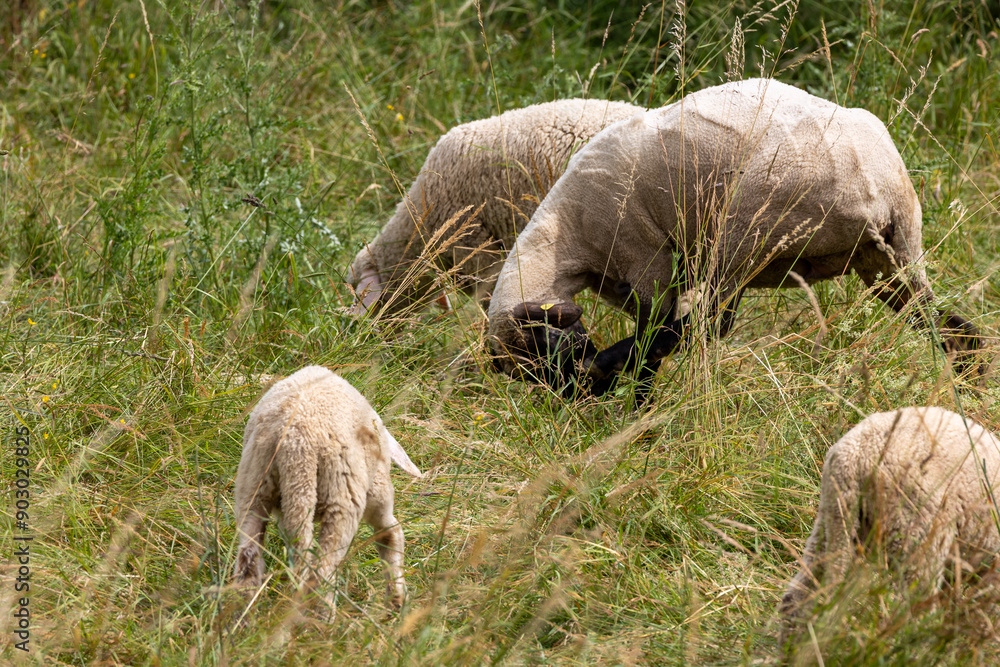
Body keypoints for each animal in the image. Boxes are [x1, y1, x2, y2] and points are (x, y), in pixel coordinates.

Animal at [232, 365, 422, 615]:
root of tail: (294, 440)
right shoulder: (376, 492)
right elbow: (390, 533)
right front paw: (396, 598)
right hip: (341, 498)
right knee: (323, 570)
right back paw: (322, 620)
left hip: (257, 486)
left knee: (250, 560)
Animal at [486, 78, 979, 399]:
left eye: (545, 353)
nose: (576, 396)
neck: (565, 235)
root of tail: (878, 190)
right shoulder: (632, 282)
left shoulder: (644, 257)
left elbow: (653, 336)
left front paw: (633, 401)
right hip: (887, 259)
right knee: (948, 326)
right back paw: (969, 383)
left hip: (741, 237)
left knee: (701, 328)